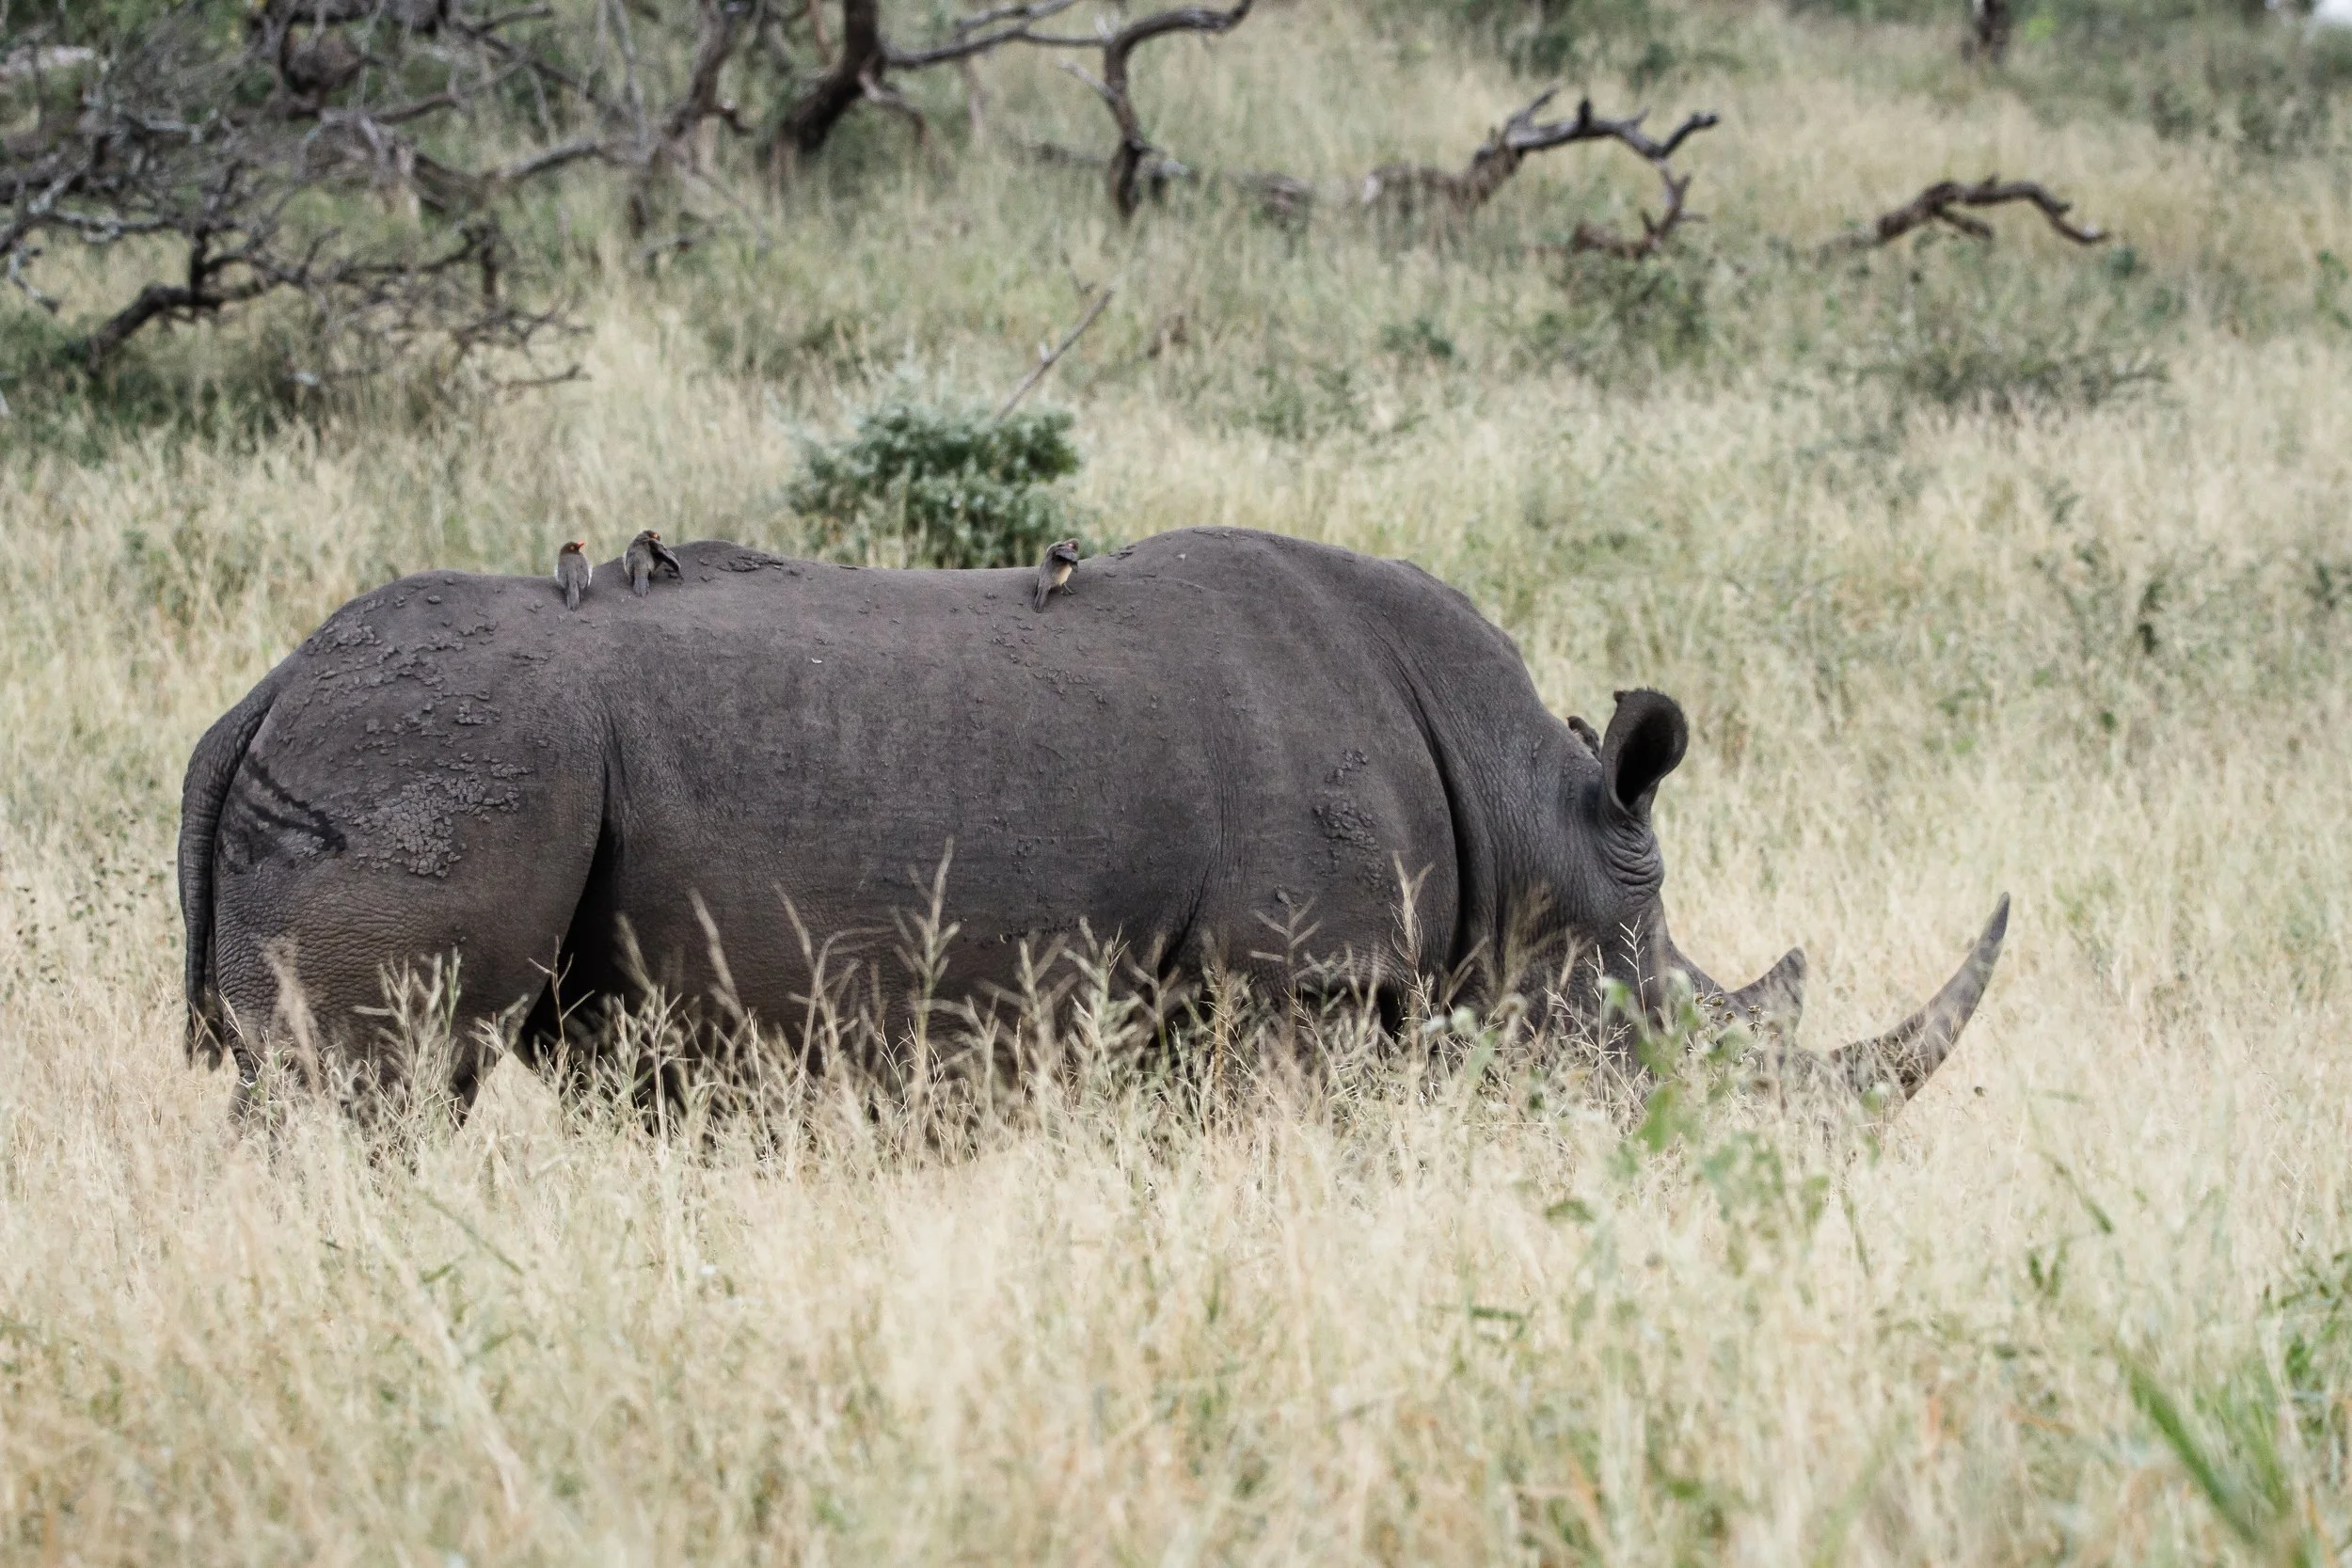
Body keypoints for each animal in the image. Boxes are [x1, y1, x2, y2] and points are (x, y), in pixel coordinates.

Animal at [177, 527, 2006, 1114]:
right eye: (1664, 1050)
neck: (1528, 823)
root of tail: (260, 691)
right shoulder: (1304, 983)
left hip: (407, 749)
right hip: (443, 755)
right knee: (382, 1087)